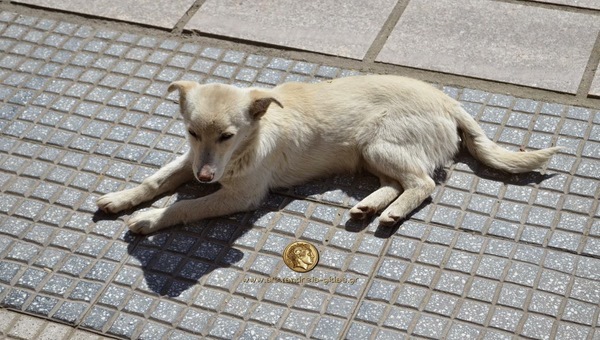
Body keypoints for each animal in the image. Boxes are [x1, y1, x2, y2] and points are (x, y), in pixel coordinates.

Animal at [96, 74, 560, 235]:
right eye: (192, 132)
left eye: (227, 135)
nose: (206, 178)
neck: (253, 139)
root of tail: (449, 102)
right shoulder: (189, 159)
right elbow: (157, 178)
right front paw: (123, 198)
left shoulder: (241, 195)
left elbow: (185, 207)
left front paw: (151, 219)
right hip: (371, 154)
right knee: (396, 183)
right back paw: (369, 206)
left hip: (382, 145)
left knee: (422, 183)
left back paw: (392, 213)